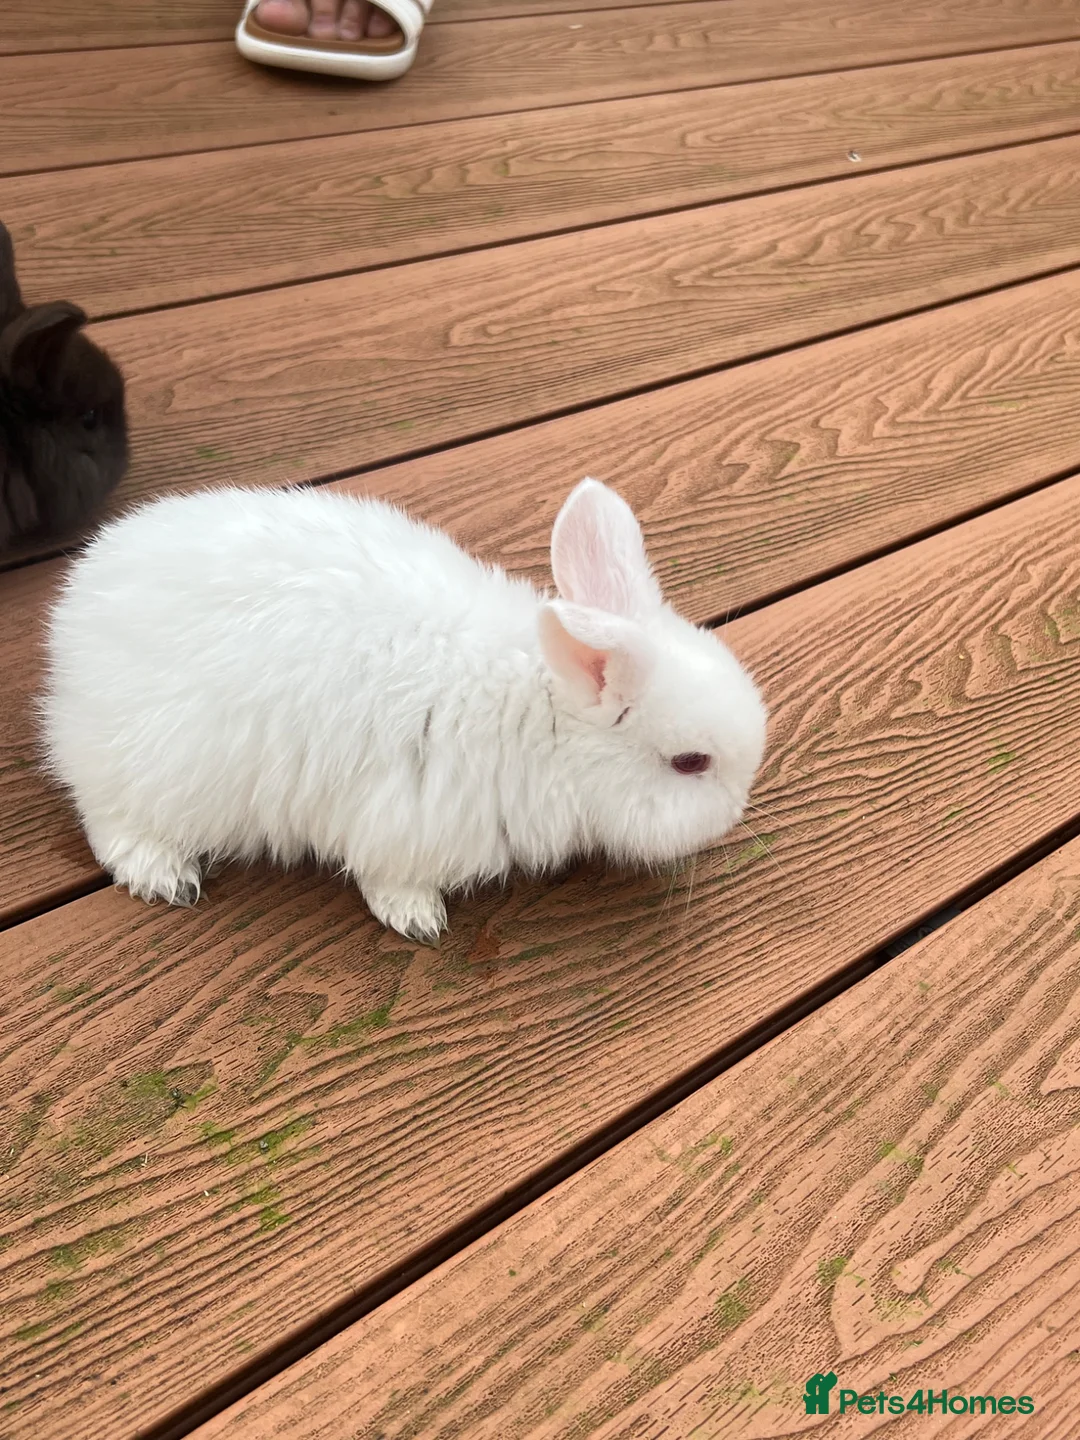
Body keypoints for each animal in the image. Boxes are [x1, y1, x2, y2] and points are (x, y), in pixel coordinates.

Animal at [41, 478, 767, 942]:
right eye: (690, 762)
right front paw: (417, 920)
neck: (542, 715)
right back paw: (162, 876)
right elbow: (388, 877)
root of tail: (77, 609)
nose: (736, 814)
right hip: (160, 766)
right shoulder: (402, 818)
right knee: (105, 815)